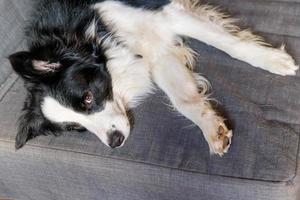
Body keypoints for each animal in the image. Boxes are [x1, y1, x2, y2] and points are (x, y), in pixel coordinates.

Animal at [8, 0, 298, 155]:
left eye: (87, 98)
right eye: (76, 128)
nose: (115, 142)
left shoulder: (166, 15)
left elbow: (231, 44)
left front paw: (274, 60)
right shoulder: (156, 54)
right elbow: (183, 100)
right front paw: (211, 129)